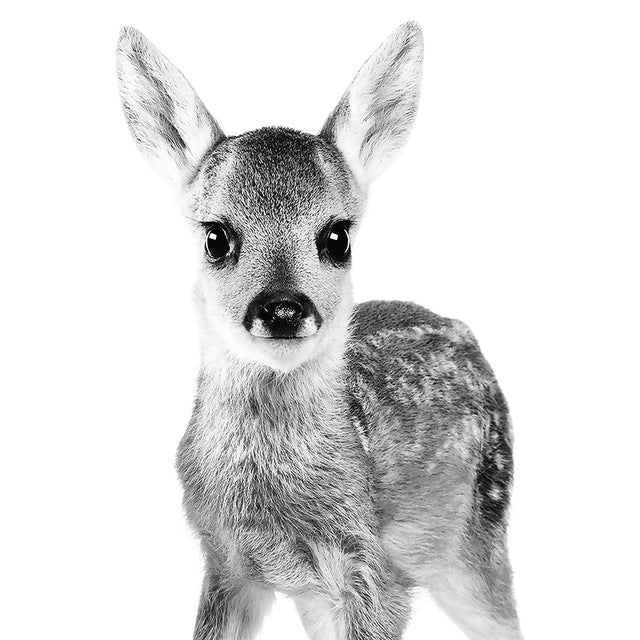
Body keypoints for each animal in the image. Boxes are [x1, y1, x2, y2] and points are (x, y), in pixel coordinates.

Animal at [116, 21, 522, 640]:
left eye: (338, 237)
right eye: (215, 237)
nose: (283, 308)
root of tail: (465, 331)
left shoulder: (374, 572)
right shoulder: (227, 562)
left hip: (480, 533)